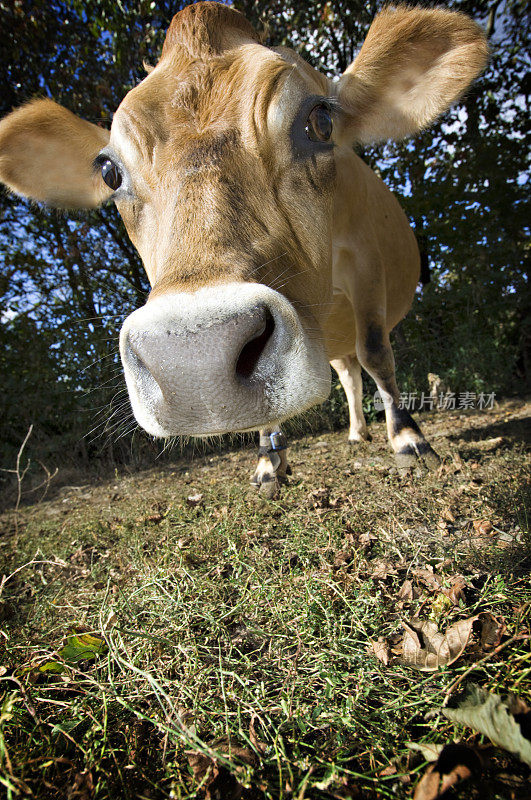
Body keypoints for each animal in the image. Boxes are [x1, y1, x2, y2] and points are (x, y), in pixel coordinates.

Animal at [0, 3, 488, 494]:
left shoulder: (366, 259)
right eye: (108, 171)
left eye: (321, 121)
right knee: (347, 373)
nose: (194, 361)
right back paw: (354, 433)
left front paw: (409, 441)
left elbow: (376, 352)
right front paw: (269, 462)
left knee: (357, 363)